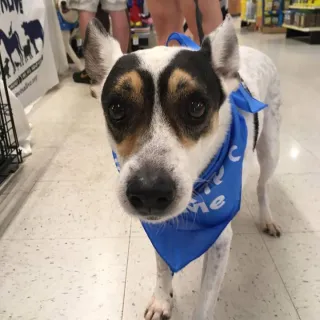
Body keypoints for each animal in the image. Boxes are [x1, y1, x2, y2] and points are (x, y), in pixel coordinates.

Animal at [84, 13, 282, 318]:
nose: (149, 192)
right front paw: (162, 300)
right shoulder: (160, 229)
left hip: (271, 148)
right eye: (117, 109)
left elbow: (205, 302)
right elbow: (162, 266)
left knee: (263, 186)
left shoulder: (220, 243)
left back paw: (267, 217)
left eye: (196, 106)